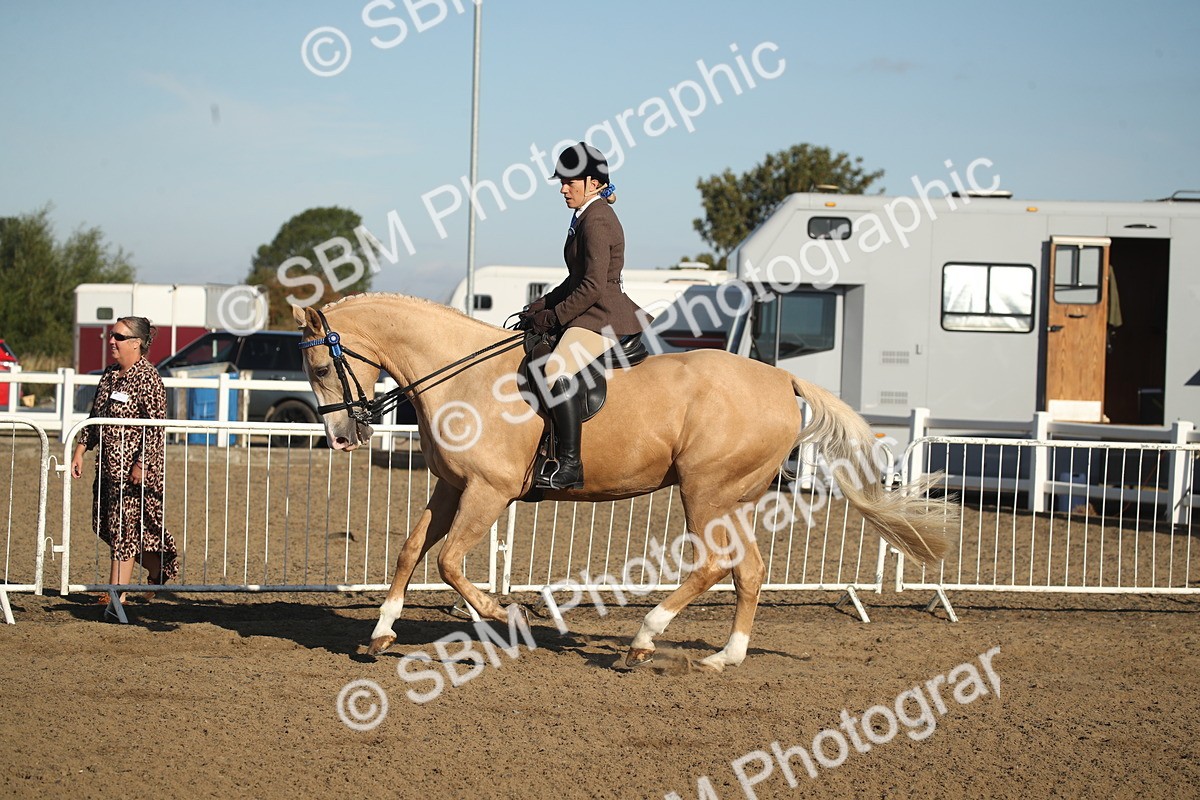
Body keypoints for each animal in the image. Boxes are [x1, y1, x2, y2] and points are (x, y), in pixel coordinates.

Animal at [292, 294, 952, 671]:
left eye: (321, 365)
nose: (343, 438)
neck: (462, 378)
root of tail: (781, 380)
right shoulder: (452, 487)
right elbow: (410, 552)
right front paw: (380, 634)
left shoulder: (488, 491)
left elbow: (449, 561)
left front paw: (509, 615)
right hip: (734, 496)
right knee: (750, 569)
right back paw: (725, 657)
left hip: (705, 490)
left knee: (715, 564)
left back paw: (643, 640)